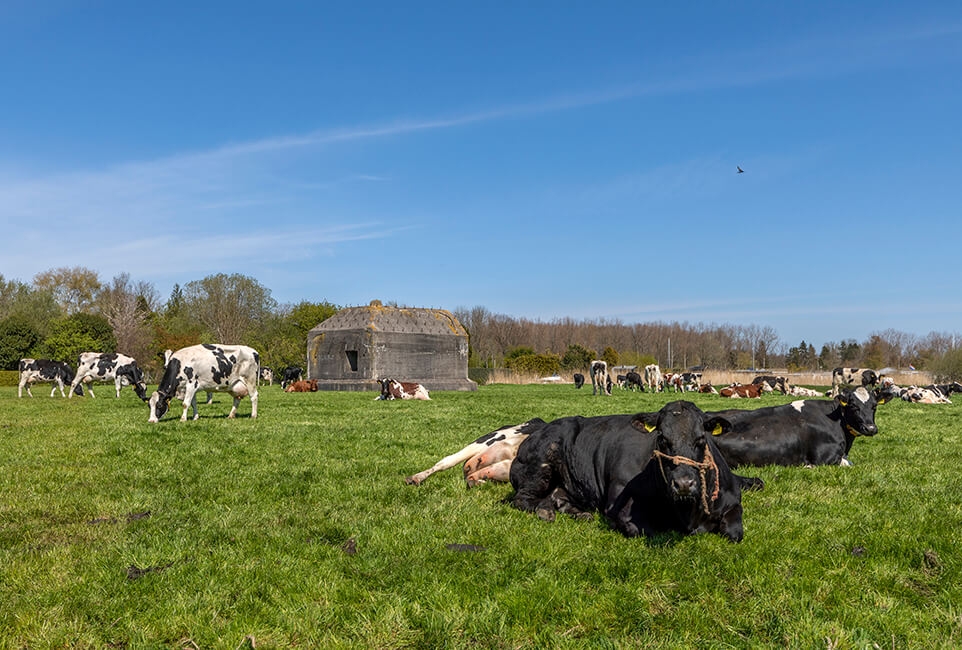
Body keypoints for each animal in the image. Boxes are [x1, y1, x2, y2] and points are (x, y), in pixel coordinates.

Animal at [506, 400, 760, 540]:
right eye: (662, 438)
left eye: (701, 438)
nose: (684, 484)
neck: (689, 513)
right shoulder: (618, 504)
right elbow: (641, 529)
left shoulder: (732, 500)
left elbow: (735, 532)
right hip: (541, 464)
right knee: (522, 499)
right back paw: (544, 511)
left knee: (559, 498)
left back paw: (579, 513)